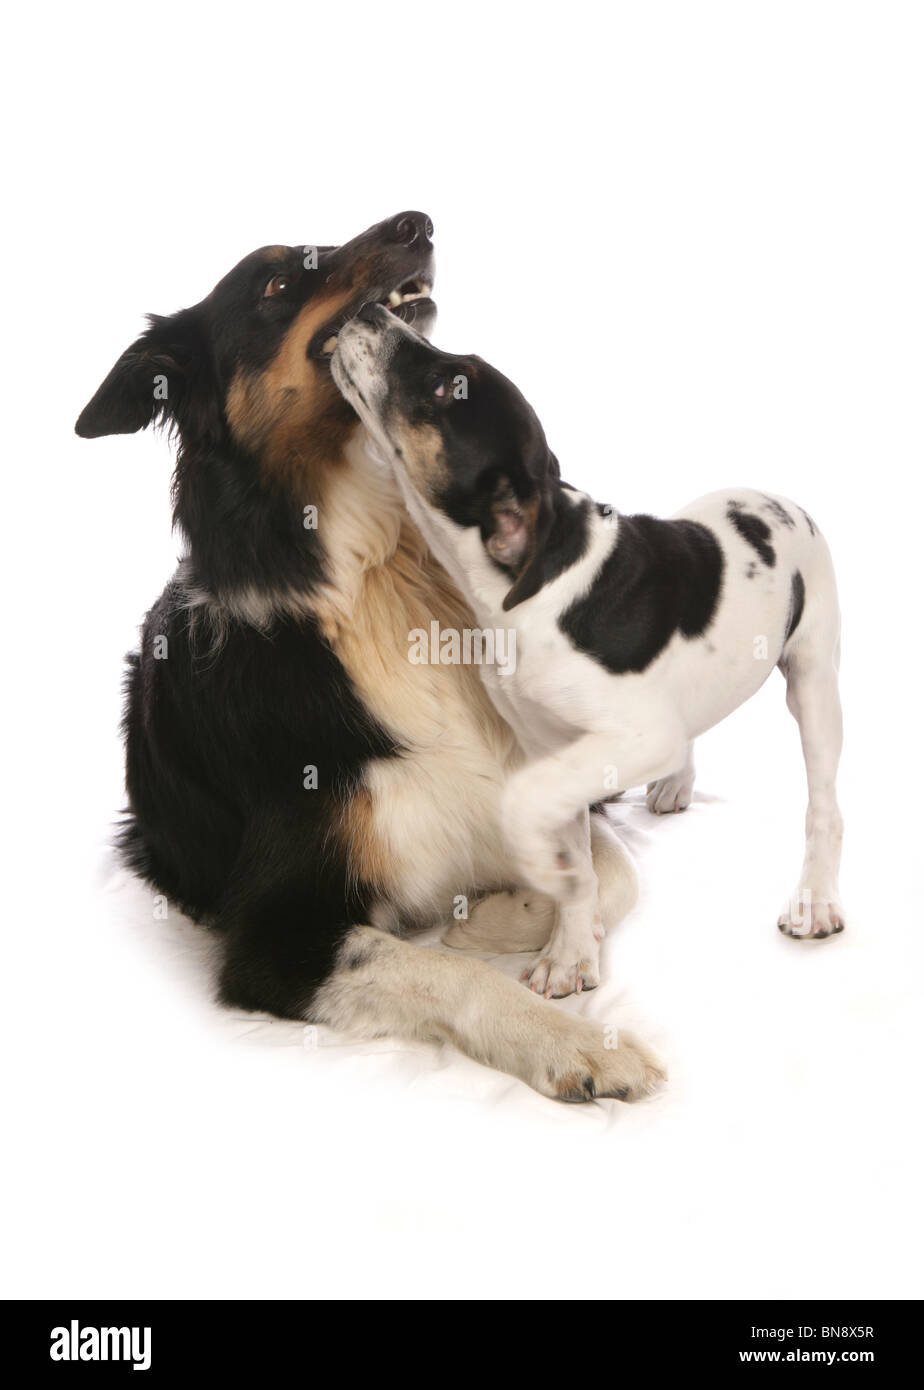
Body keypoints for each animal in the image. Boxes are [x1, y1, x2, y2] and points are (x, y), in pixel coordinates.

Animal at [75, 211, 658, 1100]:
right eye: (278, 284)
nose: (417, 222)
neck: (384, 575)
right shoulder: (273, 939)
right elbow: (450, 970)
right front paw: (580, 1041)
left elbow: (612, 869)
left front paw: (522, 917)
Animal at [332, 304, 844, 1000]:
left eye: (445, 386)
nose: (366, 309)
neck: (529, 583)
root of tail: (780, 498)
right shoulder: (557, 745)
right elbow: (572, 845)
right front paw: (570, 951)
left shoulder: (624, 738)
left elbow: (524, 801)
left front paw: (543, 874)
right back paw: (677, 783)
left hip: (814, 678)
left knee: (825, 805)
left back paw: (815, 901)